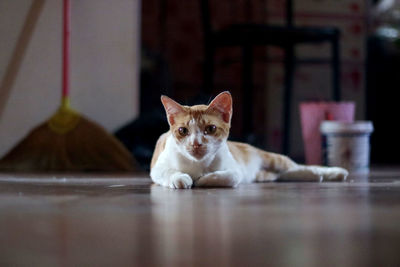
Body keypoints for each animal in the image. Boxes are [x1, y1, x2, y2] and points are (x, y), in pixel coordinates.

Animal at [150, 92, 346, 188]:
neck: (199, 164)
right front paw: (180, 178)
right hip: (267, 173)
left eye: (210, 129)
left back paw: (331, 172)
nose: (196, 144)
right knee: (284, 173)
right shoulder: (157, 168)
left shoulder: (235, 169)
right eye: (182, 131)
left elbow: (230, 177)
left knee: (294, 166)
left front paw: (203, 179)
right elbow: (167, 172)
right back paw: (315, 175)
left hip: (272, 159)